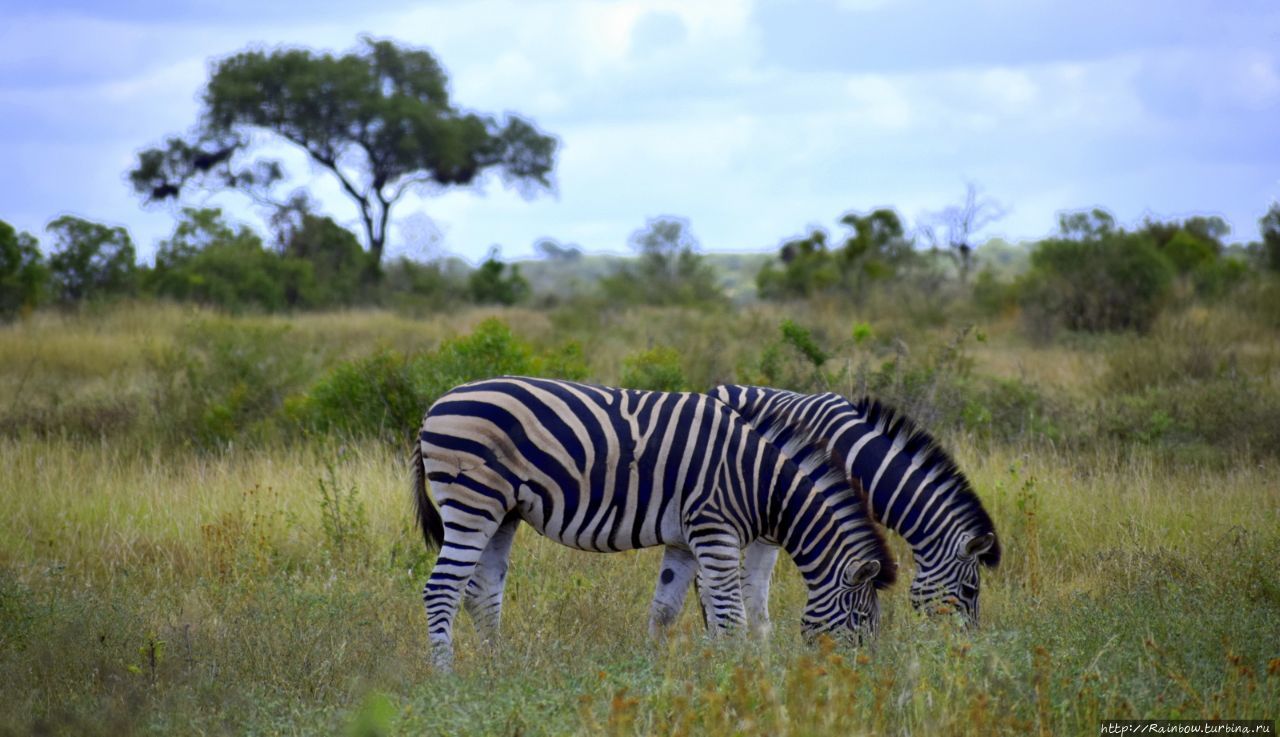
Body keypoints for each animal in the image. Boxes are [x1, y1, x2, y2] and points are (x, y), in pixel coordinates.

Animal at [414, 376, 896, 670]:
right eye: (859, 618)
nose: (860, 677)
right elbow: (731, 615)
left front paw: (656, 671)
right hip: (472, 503)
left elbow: (665, 611)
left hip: (503, 513)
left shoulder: (685, 541)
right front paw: (736, 675)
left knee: (482, 593)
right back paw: (446, 676)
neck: (759, 479)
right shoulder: (714, 530)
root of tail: (437, 404)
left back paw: (496, 668)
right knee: (442, 589)